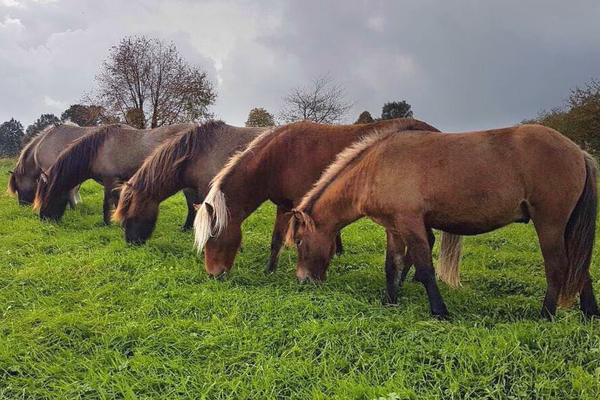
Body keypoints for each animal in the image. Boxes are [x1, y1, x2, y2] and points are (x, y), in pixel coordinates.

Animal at [34, 122, 193, 222]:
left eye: (47, 195)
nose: (43, 218)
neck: (98, 149)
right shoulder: (109, 181)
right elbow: (110, 203)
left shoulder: (111, 181)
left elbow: (111, 203)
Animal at [195, 117, 462, 286]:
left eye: (213, 237)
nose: (213, 274)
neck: (277, 158)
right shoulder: (284, 206)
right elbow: (275, 240)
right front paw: (269, 270)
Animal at [288, 123, 596, 320]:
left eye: (300, 240)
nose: (302, 280)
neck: (375, 168)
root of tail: (578, 151)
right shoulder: (393, 228)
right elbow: (392, 265)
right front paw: (389, 301)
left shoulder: (411, 224)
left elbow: (424, 268)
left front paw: (439, 311)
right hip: (568, 228)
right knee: (579, 266)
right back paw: (590, 312)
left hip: (550, 224)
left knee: (558, 266)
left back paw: (546, 315)